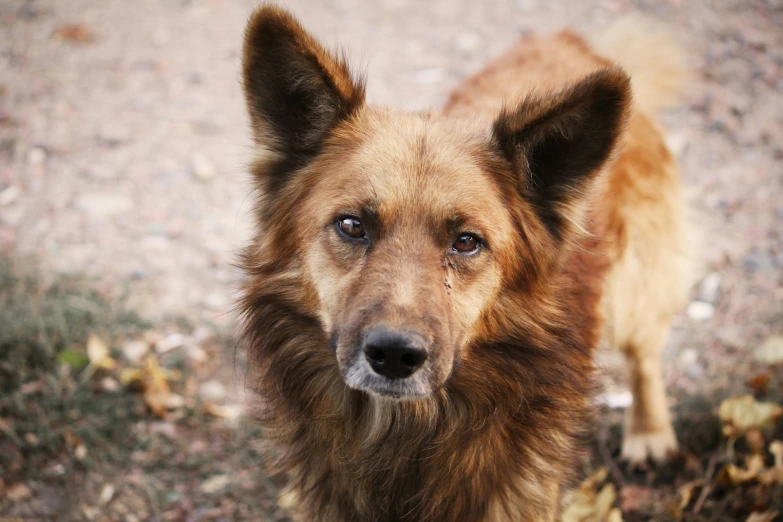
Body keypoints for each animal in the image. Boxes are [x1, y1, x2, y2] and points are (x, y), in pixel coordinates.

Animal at [240, 6, 692, 516]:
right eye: (352, 225)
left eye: (466, 242)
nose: (394, 355)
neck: (403, 433)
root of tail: (569, 43)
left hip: (634, 285)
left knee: (645, 351)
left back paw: (649, 432)